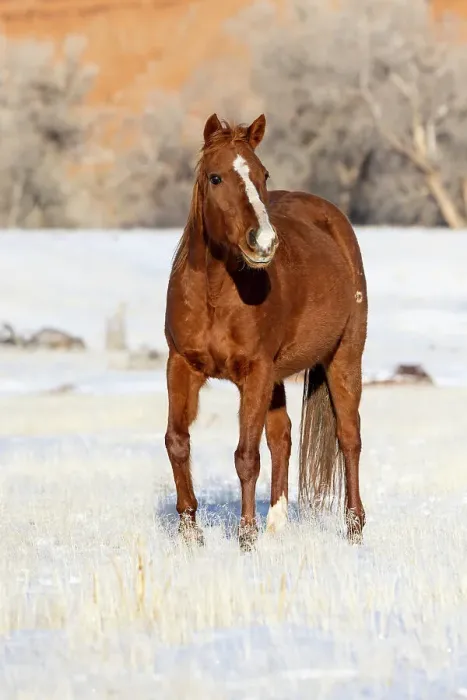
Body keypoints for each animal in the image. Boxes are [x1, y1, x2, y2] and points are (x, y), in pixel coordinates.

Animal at [164, 113, 367, 549]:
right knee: (283, 436)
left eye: (263, 174)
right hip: (277, 376)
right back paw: (277, 522)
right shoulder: (182, 366)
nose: (263, 241)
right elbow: (177, 441)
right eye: (216, 177)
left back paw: (355, 528)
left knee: (349, 437)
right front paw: (190, 532)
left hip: (344, 357)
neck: (214, 294)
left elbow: (246, 456)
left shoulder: (254, 373)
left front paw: (246, 538)